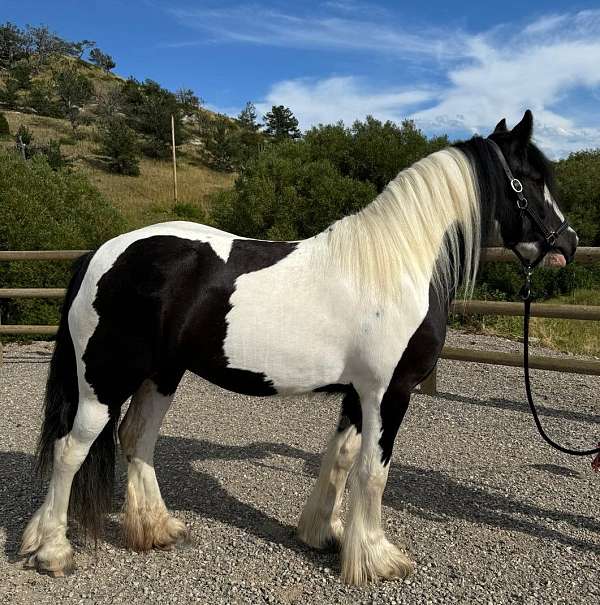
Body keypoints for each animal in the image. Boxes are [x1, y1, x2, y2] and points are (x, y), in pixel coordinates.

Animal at [21, 111, 580, 584]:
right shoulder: (389, 392)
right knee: (71, 449)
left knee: (137, 438)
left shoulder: (358, 393)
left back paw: (156, 529)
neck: (397, 266)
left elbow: (341, 459)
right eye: (530, 178)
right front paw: (377, 559)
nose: (568, 243)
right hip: (105, 380)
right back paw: (53, 551)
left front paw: (322, 535)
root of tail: (103, 252)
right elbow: (373, 473)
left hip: (161, 375)